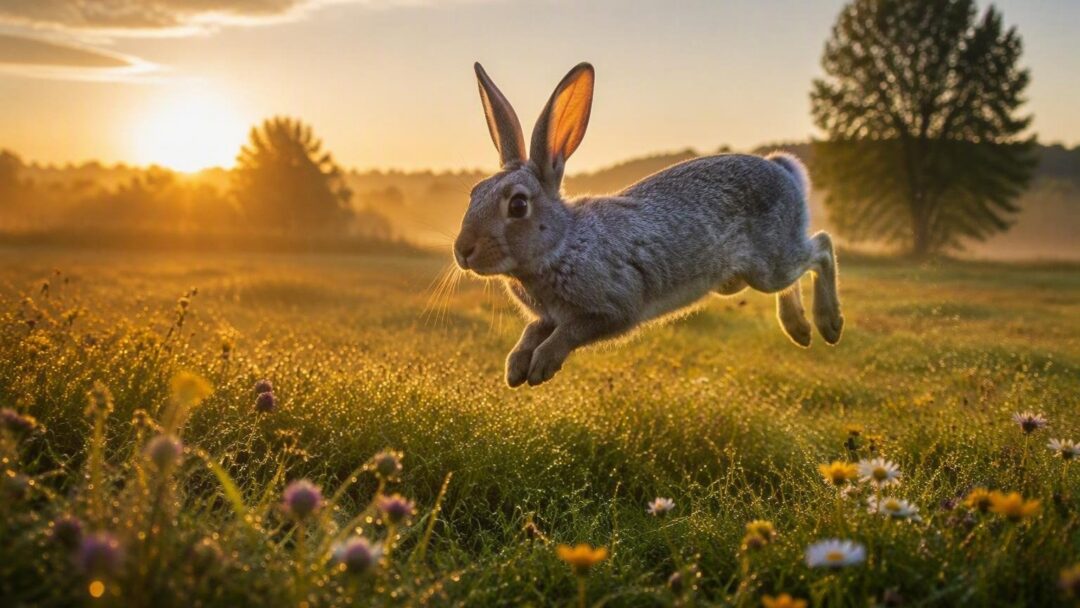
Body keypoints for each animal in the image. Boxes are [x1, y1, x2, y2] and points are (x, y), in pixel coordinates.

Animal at [454, 62, 844, 387]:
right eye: (474, 193)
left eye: (518, 205)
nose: (462, 251)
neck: (563, 243)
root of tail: (784, 172)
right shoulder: (546, 317)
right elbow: (532, 331)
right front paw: (515, 367)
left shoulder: (612, 307)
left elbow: (569, 333)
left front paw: (540, 366)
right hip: (746, 277)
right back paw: (799, 329)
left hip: (770, 264)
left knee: (821, 247)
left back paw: (828, 324)